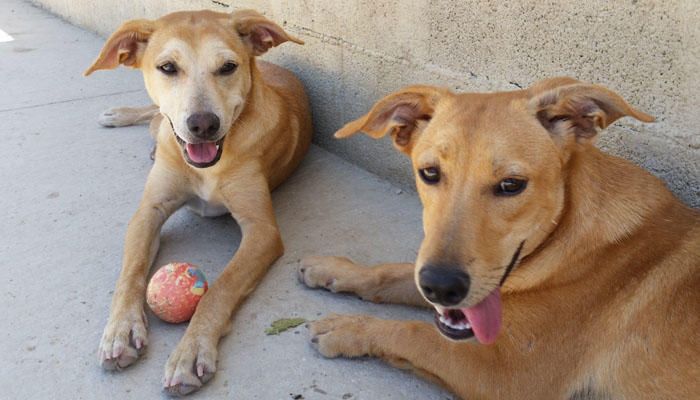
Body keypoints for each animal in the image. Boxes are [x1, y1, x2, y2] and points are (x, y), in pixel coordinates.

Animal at [83, 10, 310, 396]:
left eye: (228, 67)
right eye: (167, 67)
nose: (203, 125)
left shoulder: (262, 232)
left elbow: (220, 289)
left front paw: (190, 352)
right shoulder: (148, 212)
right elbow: (130, 273)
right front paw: (120, 330)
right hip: (160, 125)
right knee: (154, 116)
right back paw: (120, 115)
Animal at [300, 78, 700, 400]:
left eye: (511, 185)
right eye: (429, 173)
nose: (441, 287)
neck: (568, 234)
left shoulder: (507, 375)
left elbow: (412, 332)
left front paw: (349, 327)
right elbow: (394, 273)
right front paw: (334, 269)